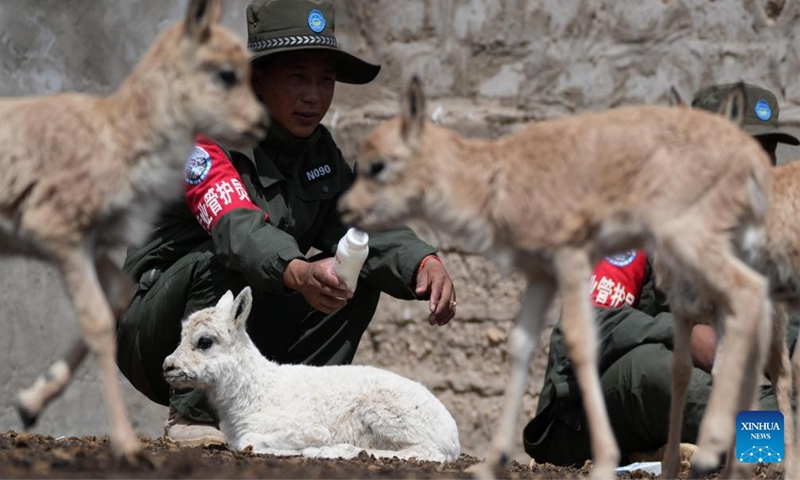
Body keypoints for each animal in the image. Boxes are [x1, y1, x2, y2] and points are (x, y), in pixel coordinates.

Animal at [1, 0, 268, 458]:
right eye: (226, 72)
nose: (261, 122)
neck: (116, 140)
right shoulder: (58, 231)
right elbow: (95, 321)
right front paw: (127, 445)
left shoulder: (92, 245)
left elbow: (118, 296)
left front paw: (29, 404)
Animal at [162, 286, 460, 464]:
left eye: (205, 342)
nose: (168, 366)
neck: (256, 391)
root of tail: (453, 438)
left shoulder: (307, 427)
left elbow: (248, 443)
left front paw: (304, 450)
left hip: (389, 414)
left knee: (425, 452)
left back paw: (335, 451)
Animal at [340, 77, 776, 478]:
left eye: (377, 164)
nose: (344, 210)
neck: (496, 178)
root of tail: (753, 161)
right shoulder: (540, 273)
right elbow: (520, 344)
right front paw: (488, 465)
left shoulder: (571, 256)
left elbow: (582, 341)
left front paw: (604, 463)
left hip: (690, 240)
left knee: (747, 297)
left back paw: (710, 450)